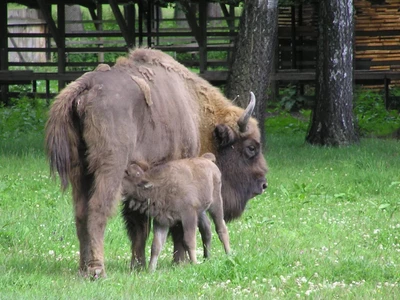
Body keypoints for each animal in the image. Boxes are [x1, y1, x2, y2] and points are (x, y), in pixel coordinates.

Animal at [45, 47, 268, 276]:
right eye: (251, 147)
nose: (263, 184)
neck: (194, 110)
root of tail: (87, 85)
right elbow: (175, 228)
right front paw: (179, 261)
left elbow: (139, 228)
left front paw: (138, 265)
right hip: (110, 168)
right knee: (98, 209)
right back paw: (98, 270)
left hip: (80, 171)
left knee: (81, 213)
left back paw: (83, 268)